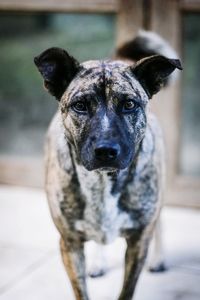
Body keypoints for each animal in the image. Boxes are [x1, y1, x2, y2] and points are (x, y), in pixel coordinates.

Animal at [34, 31, 183, 298]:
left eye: (129, 104)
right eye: (80, 105)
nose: (105, 151)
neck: (102, 182)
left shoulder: (137, 243)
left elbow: (127, 290)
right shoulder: (70, 245)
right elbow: (81, 290)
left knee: (160, 223)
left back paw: (158, 259)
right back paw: (99, 262)